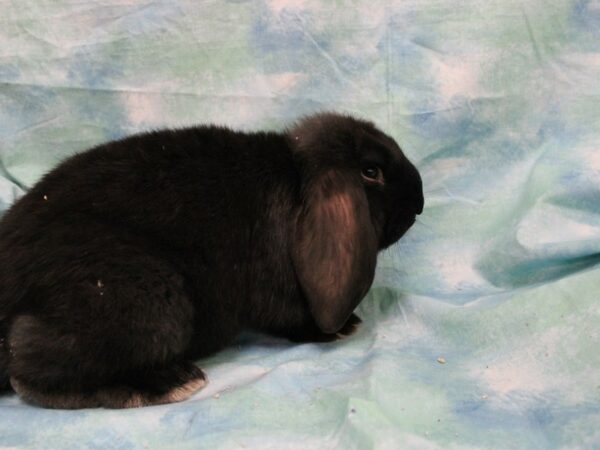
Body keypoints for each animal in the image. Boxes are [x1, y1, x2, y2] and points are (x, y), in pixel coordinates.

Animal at [0, 111, 422, 408]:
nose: (419, 201)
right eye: (371, 171)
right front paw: (341, 327)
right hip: (147, 296)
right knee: (29, 367)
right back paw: (168, 383)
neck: (296, 184)